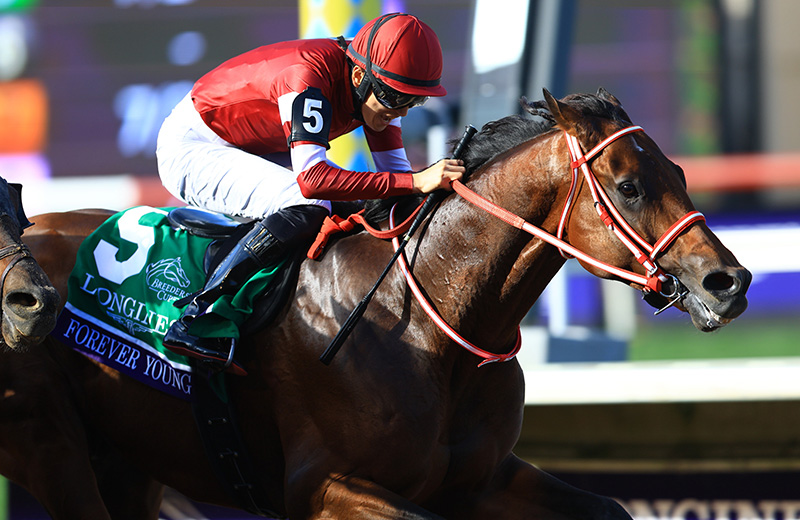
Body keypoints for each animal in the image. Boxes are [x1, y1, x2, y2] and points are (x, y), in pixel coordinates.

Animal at [12, 88, 750, 519]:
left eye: (679, 172)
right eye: (627, 185)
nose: (729, 281)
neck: (428, 323)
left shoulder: (481, 480)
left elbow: (611, 509)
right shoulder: (319, 485)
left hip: (129, 463)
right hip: (50, 445)